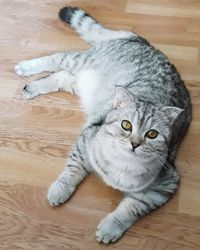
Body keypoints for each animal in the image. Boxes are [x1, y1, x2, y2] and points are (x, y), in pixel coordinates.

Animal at [14, 6, 191, 243]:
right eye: (126, 125)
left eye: (152, 134)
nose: (134, 144)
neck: (122, 165)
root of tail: (144, 42)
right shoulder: (85, 140)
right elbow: (72, 170)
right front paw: (61, 189)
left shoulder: (163, 186)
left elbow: (131, 209)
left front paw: (110, 228)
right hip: (81, 61)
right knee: (57, 58)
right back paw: (27, 67)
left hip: (83, 84)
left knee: (62, 76)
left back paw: (33, 87)